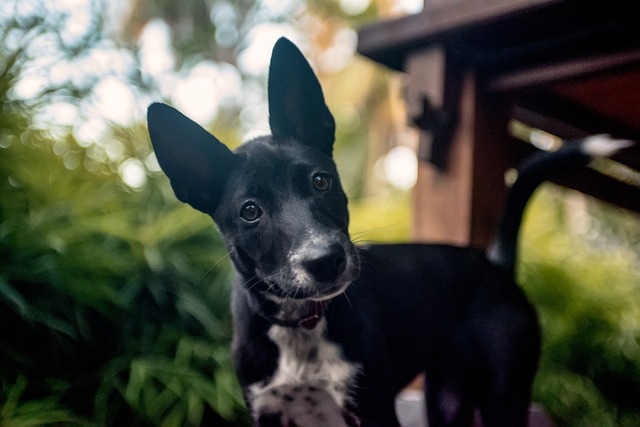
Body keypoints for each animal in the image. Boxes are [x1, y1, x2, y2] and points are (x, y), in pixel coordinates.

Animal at [145, 37, 632, 427]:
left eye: (320, 181)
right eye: (250, 211)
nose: (326, 261)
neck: (302, 326)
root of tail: (494, 264)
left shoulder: (374, 409)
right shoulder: (269, 412)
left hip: (504, 393)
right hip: (448, 397)